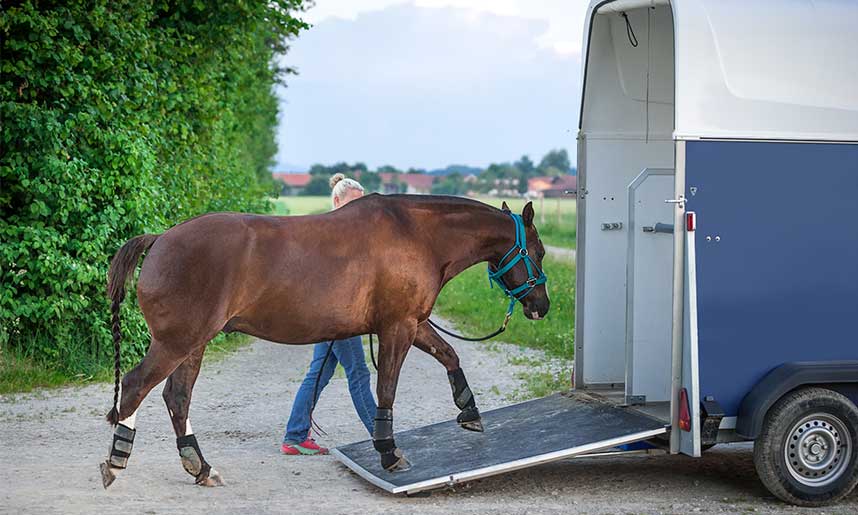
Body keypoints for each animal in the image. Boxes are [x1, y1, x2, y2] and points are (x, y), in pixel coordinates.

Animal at [99, 194, 550, 488]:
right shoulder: (398, 327)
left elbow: (450, 355)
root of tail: (160, 238)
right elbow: (387, 389)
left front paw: (469, 410)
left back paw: (201, 467)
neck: (417, 235)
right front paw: (389, 452)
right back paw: (116, 462)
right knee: (137, 386)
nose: (541, 306)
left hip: (193, 345)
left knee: (177, 397)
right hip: (178, 342)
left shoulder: (412, 322)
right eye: (540, 252)